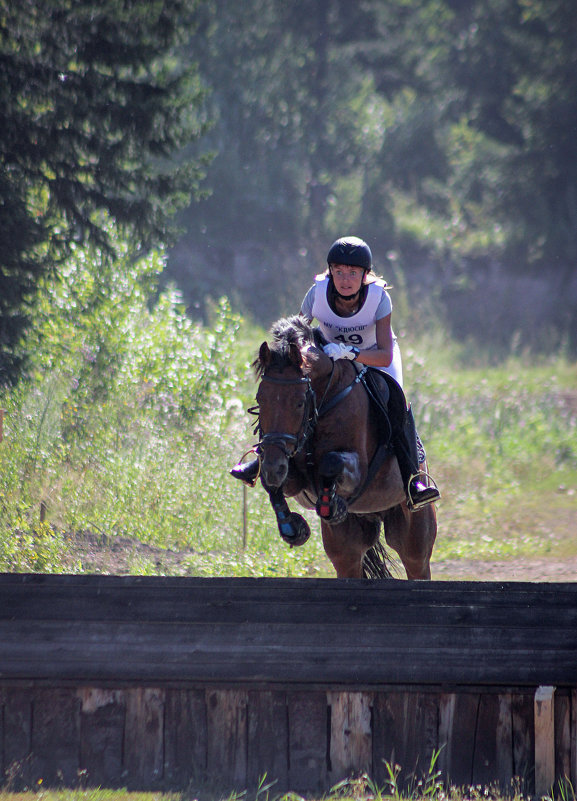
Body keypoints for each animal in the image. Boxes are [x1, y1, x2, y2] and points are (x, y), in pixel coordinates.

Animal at [246, 314, 436, 580]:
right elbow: (274, 484)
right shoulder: (292, 473)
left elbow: (332, 462)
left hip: (414, 539)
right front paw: (291, 526)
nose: (275, 467)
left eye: (299, 402)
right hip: (347, 551)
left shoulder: (360, 472)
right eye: (260, 400)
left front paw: (331, 505)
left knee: (416, 562)